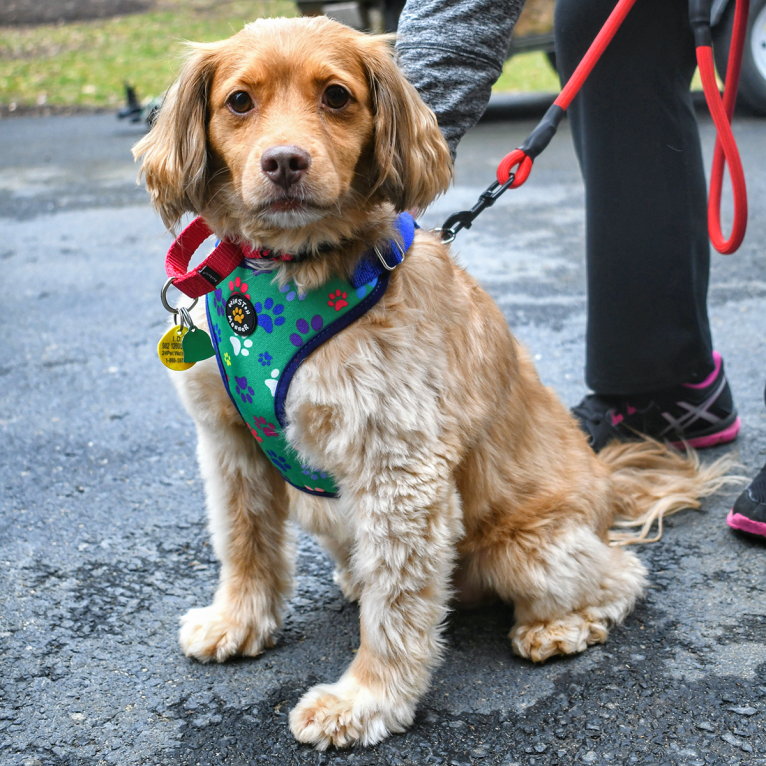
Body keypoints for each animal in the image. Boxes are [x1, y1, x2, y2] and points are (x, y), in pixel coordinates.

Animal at [134, 15, 732, 752]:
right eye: (239, 102)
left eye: (336, 96)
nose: (284, 162)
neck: (288, 274)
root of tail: (606, 482)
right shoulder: (229, 444)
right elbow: (244, 543)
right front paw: (238, 622)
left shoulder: (400, 470)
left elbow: (397, 609)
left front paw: (365, 701)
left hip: (529, 549)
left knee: (621, 572)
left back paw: (559, 626)